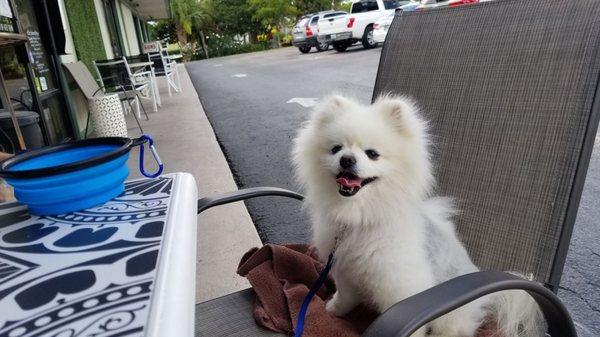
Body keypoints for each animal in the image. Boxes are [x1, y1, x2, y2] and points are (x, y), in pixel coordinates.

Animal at [292, 94, 548, 336]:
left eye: (372, 154)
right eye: (336, 149)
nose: (346, 159)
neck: (361, 215)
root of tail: (486, 294)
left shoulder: (401, 287)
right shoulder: (344, 267)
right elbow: (346, 295)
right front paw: (335, 309)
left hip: (451, 314)